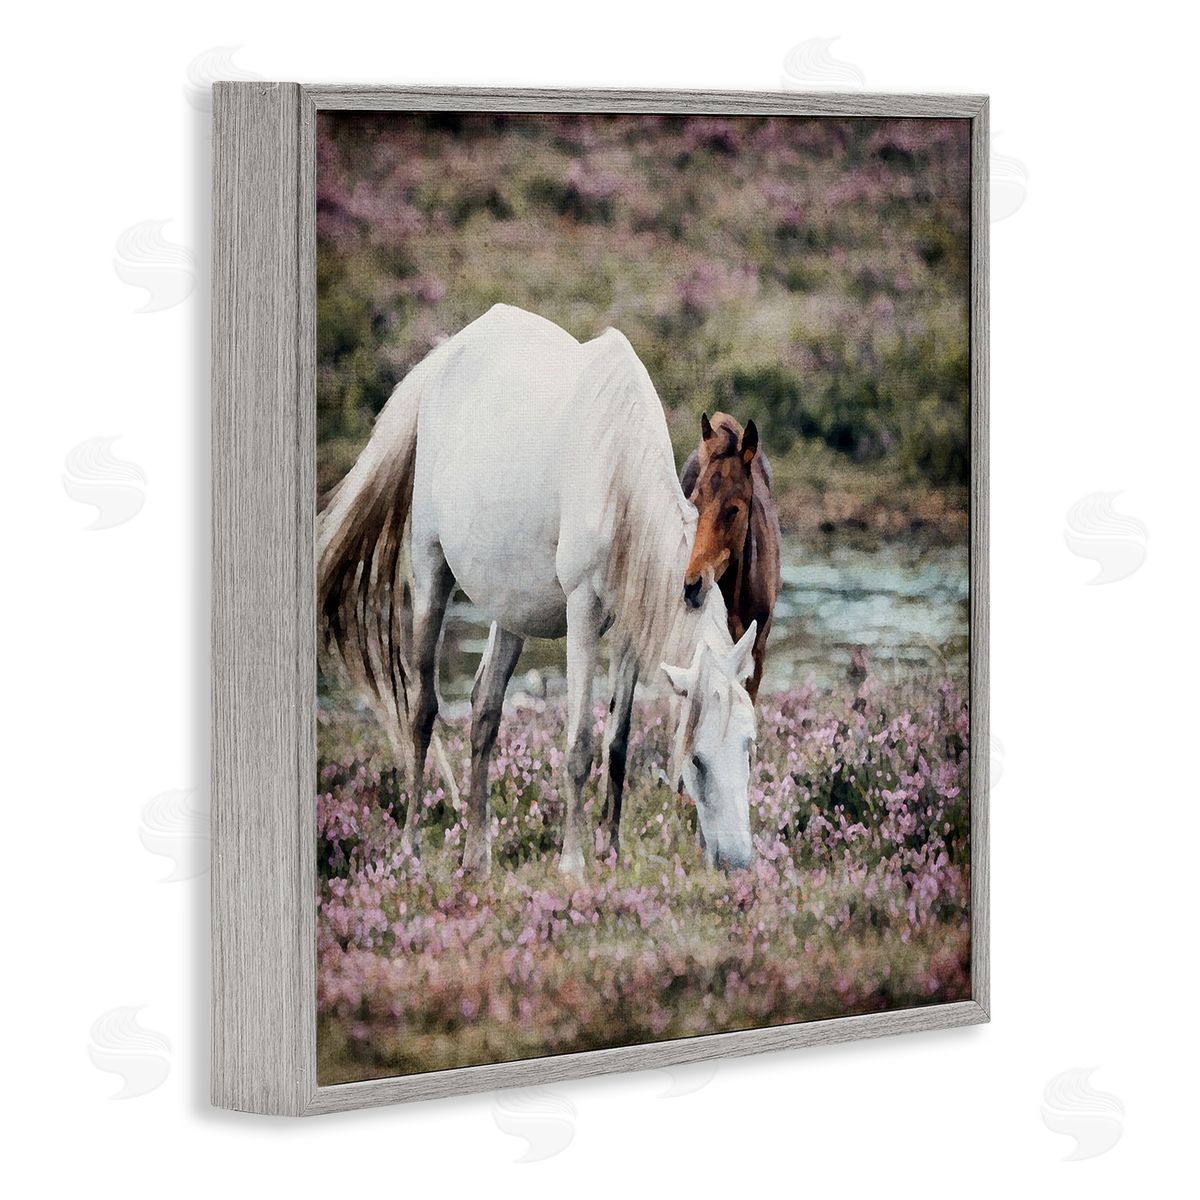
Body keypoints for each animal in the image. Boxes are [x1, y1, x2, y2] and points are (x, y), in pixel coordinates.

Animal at [318, 304, 758, 877]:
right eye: (698, 760)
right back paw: (411, 847)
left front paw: (611, 850)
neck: (617, 476)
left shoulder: (630, 626)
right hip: (431, 569)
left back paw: (476, 855)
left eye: (749, 744)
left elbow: (618, 743)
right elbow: (580, 746)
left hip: (512, 607)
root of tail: (443, 358)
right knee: (422, 712)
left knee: (484, 709)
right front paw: (574, 862)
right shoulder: (582, 612)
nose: (739, 862)